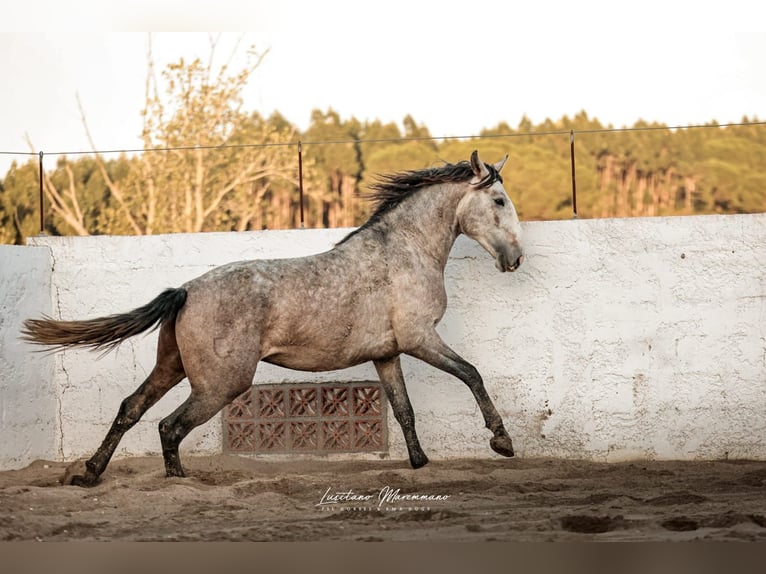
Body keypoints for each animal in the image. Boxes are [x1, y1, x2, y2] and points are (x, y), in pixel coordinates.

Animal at [21, 150, 524, 487]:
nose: (516, 259)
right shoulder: (421, 339)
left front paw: (419, 463)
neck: (404, 251)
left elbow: (404, 410)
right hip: (221, 384)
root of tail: (187, 291)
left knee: (131, 408)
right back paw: (179, 480)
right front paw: (502, 442)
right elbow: (472, 374)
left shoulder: (388, 354)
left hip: (172, 367)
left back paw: (89, 474)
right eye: (499, 200)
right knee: (170, 426)